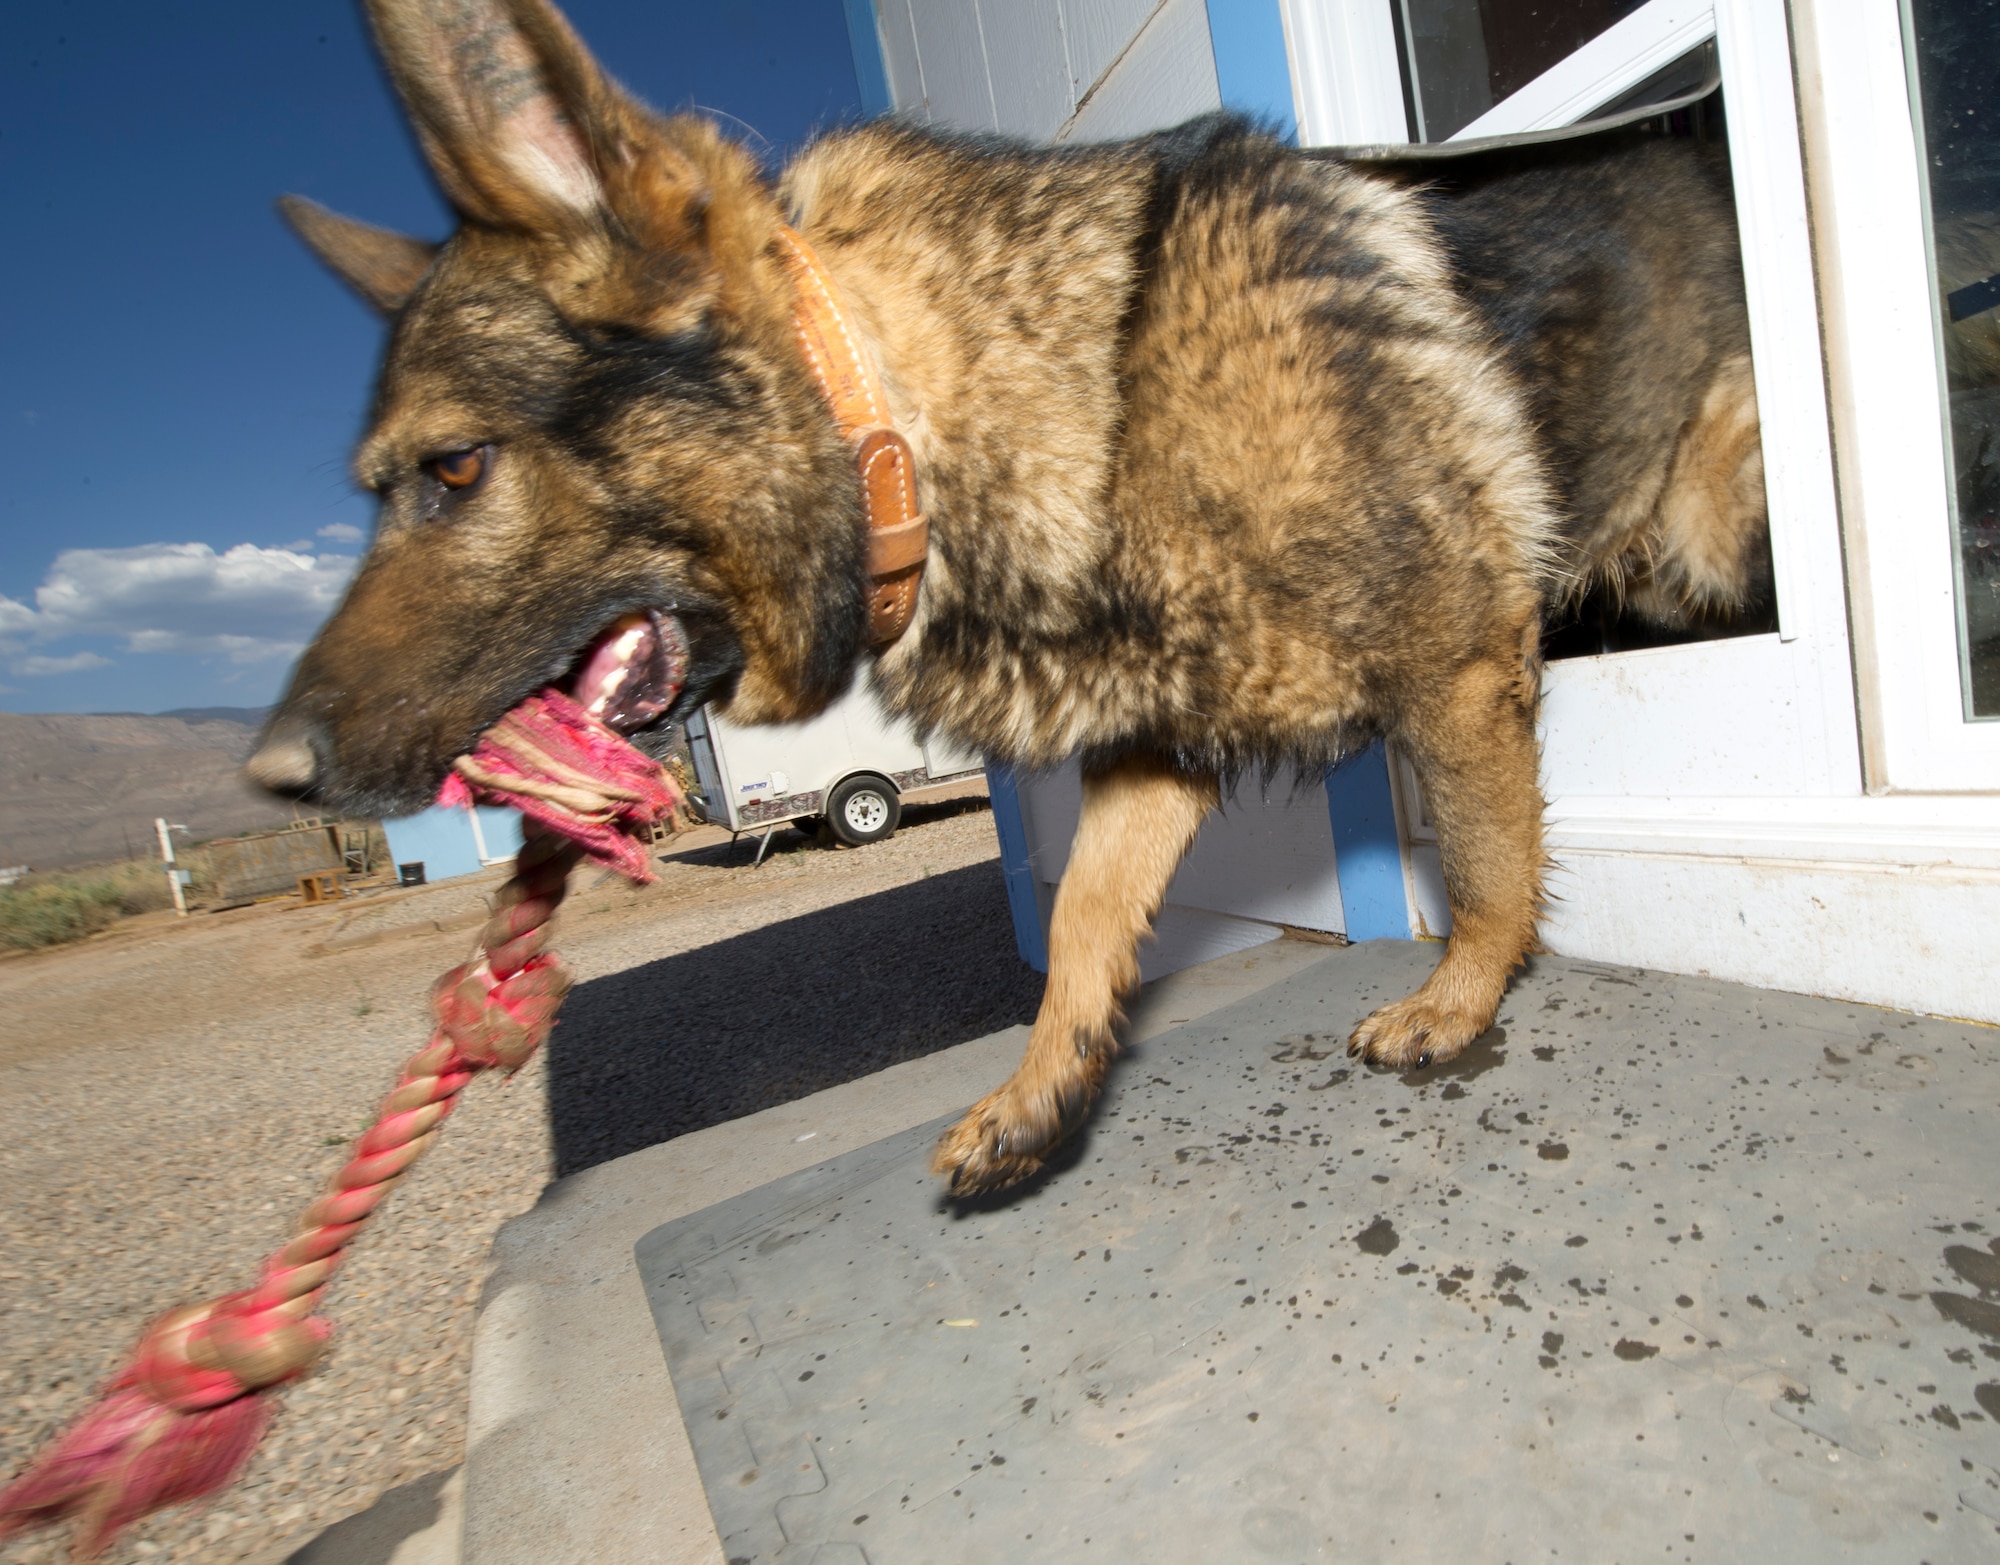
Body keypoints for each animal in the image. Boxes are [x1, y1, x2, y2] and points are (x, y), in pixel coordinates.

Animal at [250, 0, 1768, 1192]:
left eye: (454, 468)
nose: (271, 776)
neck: (908, 412)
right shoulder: (1158, 739)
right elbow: (1088, 913)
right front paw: (1043, 1087)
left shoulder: (1453, 663)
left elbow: (1482, 861)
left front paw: (1458, 996)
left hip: (1716, 528)